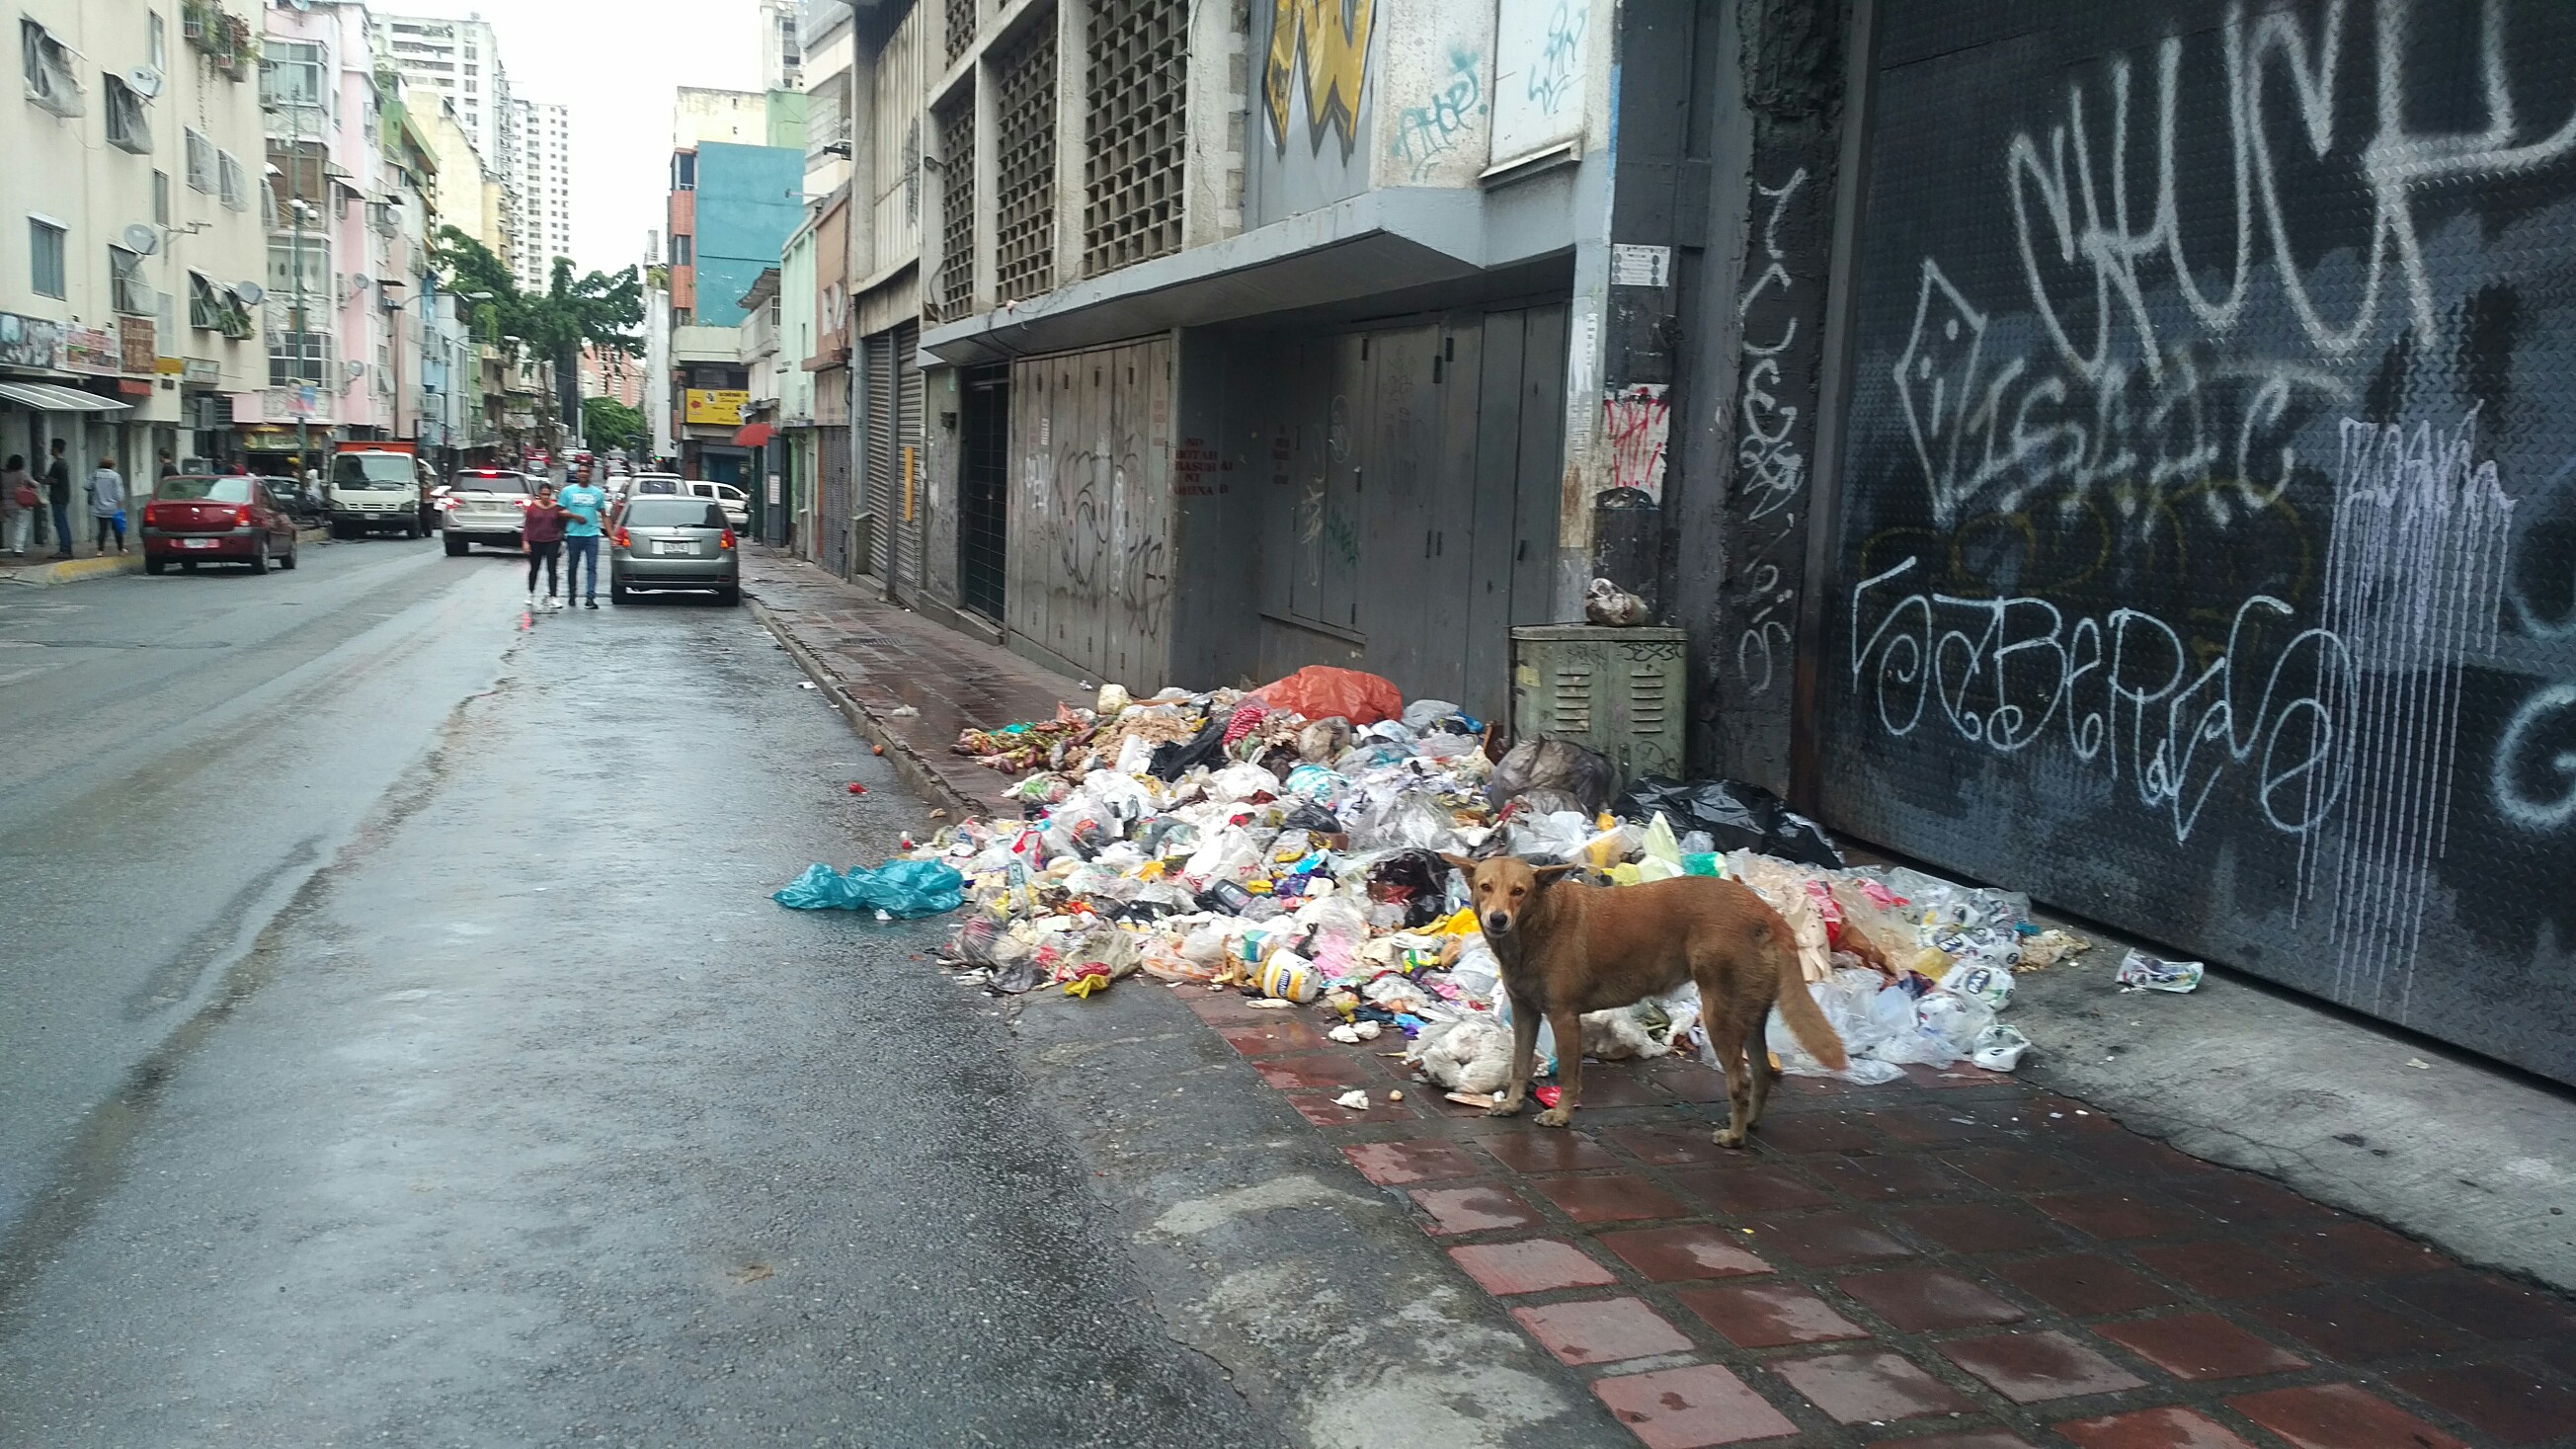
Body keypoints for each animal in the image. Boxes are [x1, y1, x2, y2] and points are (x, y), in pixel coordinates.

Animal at [1452, 850, 1854, 1144]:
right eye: (1485, 887)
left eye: (1519, 891)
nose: (1497, 919)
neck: (1536, 924)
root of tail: (1767, 912)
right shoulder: (1525, 1011)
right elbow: (1519, 1065)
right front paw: (1512, 1104)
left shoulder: (1564, 1017)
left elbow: (1568, 1075)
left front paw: (1562, 1115)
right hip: (1750, 1016)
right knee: (1761, 1073)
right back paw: (1751, 1123)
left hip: (1720, 1017)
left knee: (1739, 1081)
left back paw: (1734, 1137)